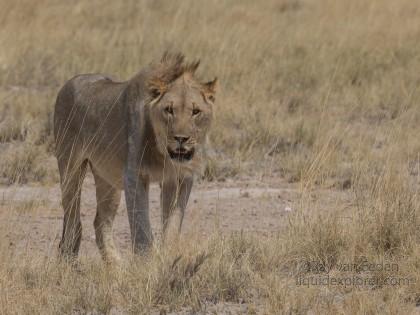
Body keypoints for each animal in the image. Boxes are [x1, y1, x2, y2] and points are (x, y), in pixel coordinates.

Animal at [53, 51, 217, 262]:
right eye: (169, 110)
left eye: (195, 111)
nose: (181, 139)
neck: (163, 154)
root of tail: (69, 82)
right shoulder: (134, 175)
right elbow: (141, 226)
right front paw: (146, 262)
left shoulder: (181, 178)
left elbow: (173, 221)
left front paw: (170, 253)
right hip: (70, 167)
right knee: (73, 220)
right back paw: (69, 262)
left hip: (108, 178)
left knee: (100, 222)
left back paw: (116, 266)